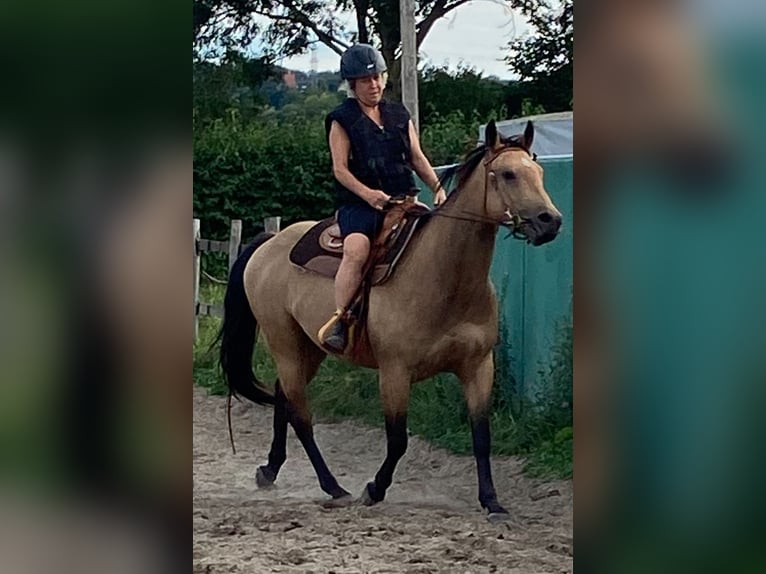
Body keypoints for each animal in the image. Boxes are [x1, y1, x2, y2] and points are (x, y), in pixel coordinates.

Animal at [218, 119, 564, 520]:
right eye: (507, 174)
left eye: (539, 172)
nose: (550, 221)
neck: (444, 278)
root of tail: (270, 243)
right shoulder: (395, 372)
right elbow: (398, 440)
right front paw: (374, 489)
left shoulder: (478, 367)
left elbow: (481, 436)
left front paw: (492, 501)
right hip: (284, 343)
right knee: (301, 416)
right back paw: (334, 487)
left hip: (309, 348)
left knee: (283, 399)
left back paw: (270, 470)